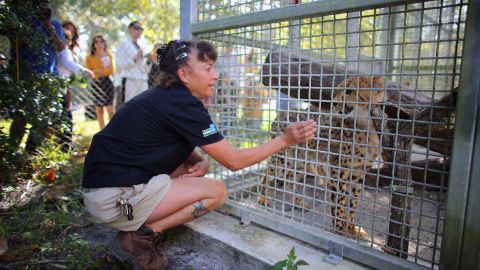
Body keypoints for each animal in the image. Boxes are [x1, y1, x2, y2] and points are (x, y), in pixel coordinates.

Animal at [256, 75, 384, 238]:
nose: (334, 103)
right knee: (267, 173)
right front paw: (339, 230)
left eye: (349, 90)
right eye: (338, 89)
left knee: (289, 180)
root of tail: (281, 113)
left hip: (301, 161)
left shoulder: (359, 171)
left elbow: (353, 203)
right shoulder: (338, 169)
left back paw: (299, 203)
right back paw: (263, 198)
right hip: (282, 158)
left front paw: (352, 228)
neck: (365, 124)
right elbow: (339, 202)